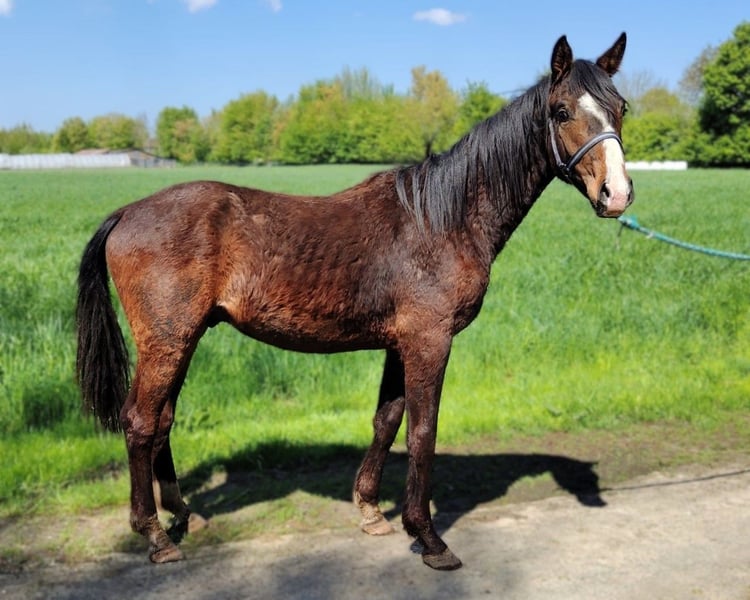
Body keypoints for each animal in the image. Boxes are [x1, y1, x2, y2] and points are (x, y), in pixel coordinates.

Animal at [76, 33, 633, 571]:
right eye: (560, 111)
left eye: (621, 107)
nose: (617, 194)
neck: (441, 218)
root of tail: (127, 212)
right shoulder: (429, 341)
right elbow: (422, 432)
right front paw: (428, 537)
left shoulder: (399, 344)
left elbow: (387, 420)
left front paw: (371, 512)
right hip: (167, 340)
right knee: (140, 421)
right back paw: (154, 534)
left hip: (182, 339)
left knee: (163, 420)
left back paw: (179, 515)